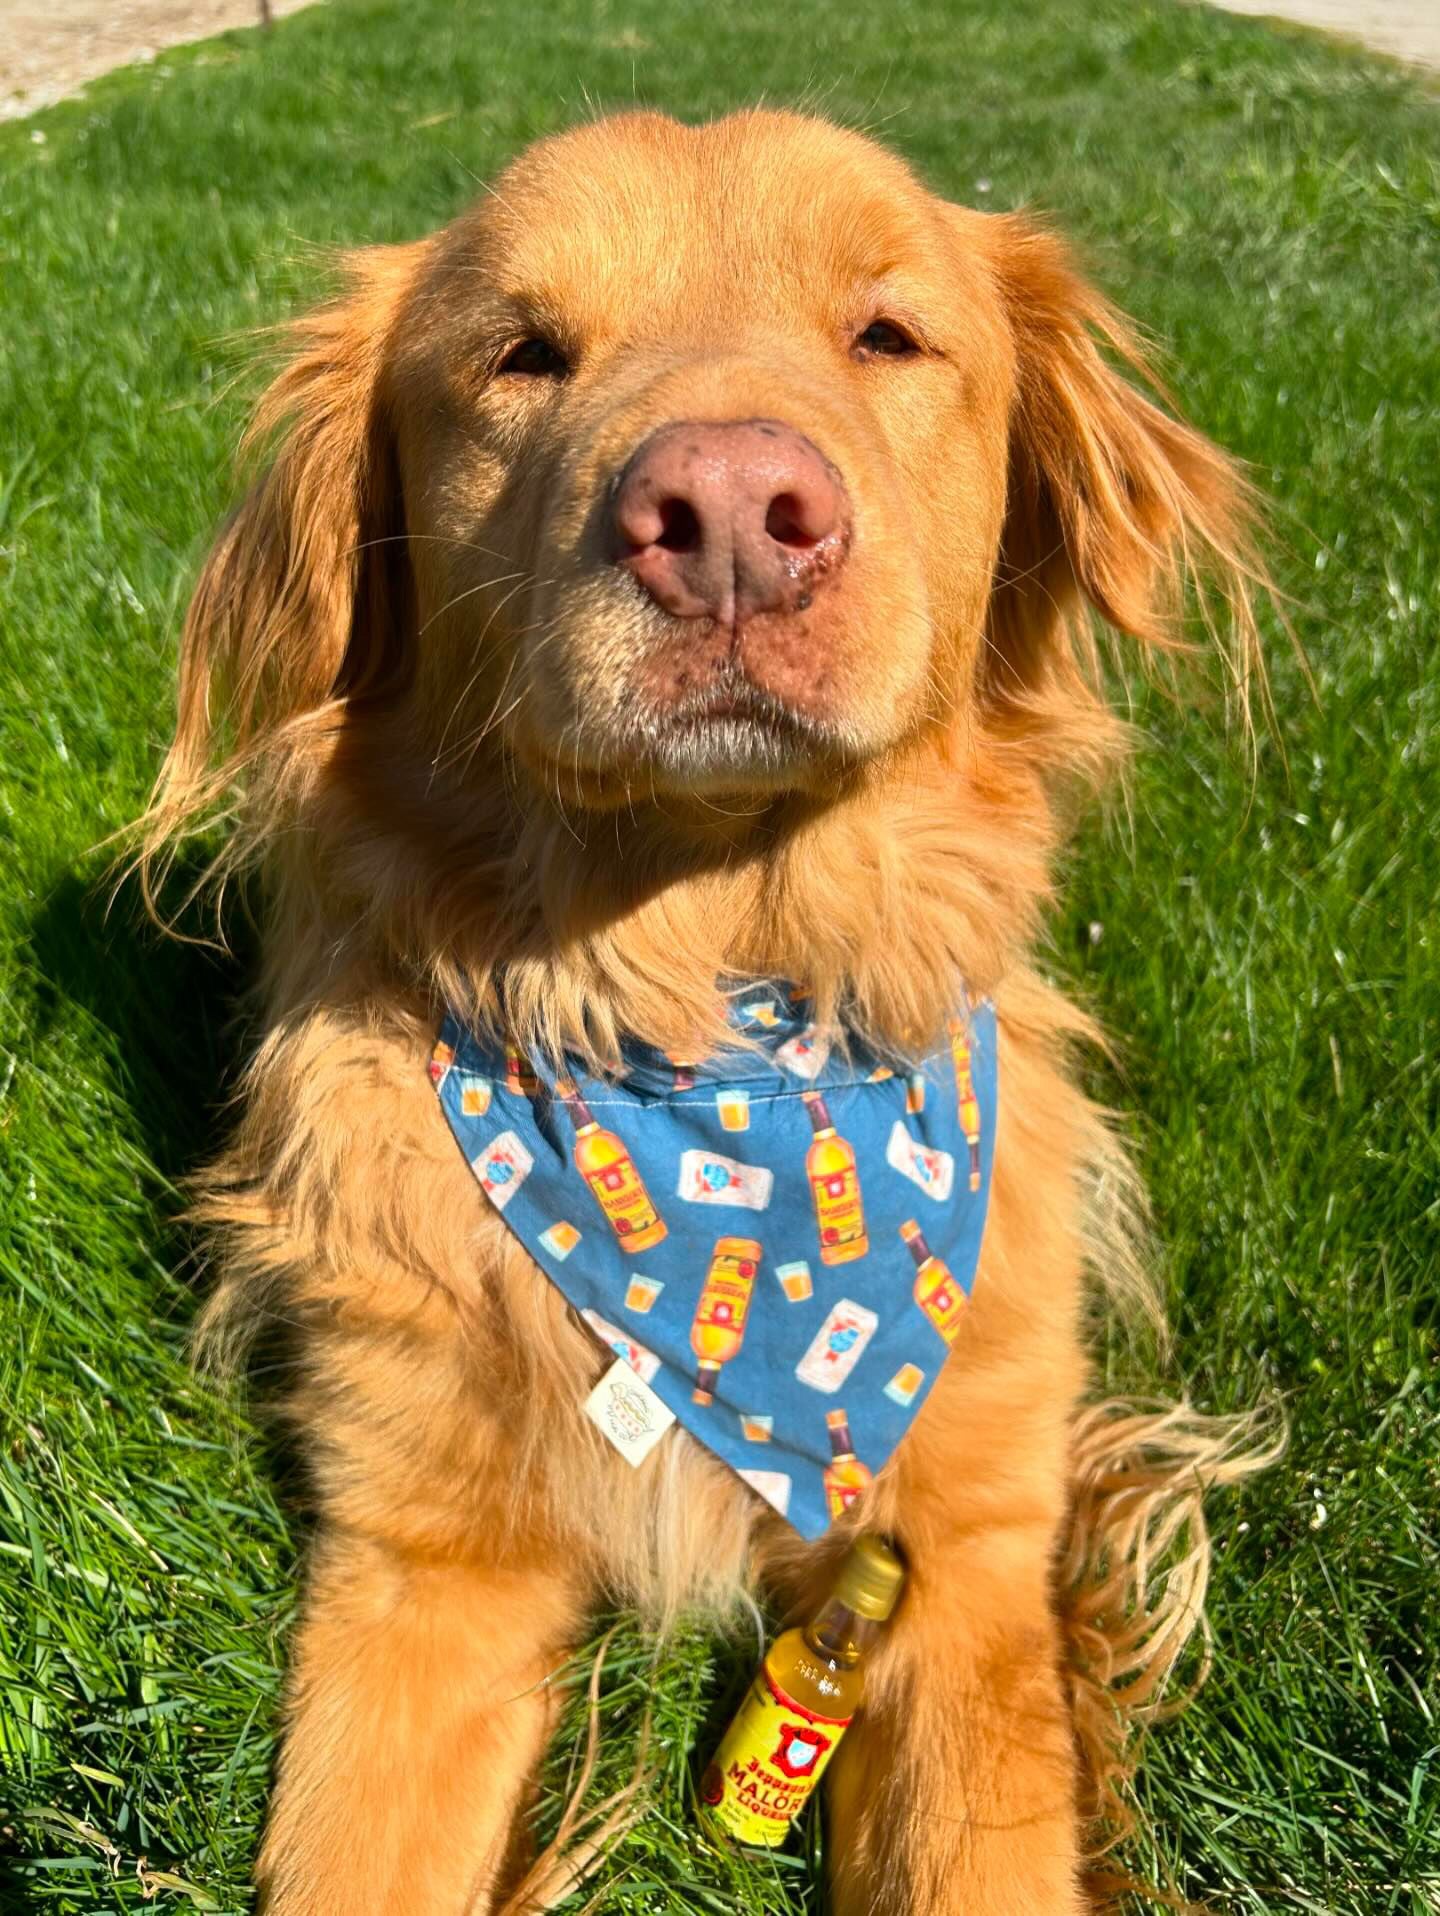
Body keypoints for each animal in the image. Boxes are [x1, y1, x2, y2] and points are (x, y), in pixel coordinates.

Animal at [143, 112, 1271, 1908]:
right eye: (523, 353)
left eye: (888, 334)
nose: (732, 510)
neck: (714, 1042)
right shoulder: (418, 1571)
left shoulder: (966, 1559)